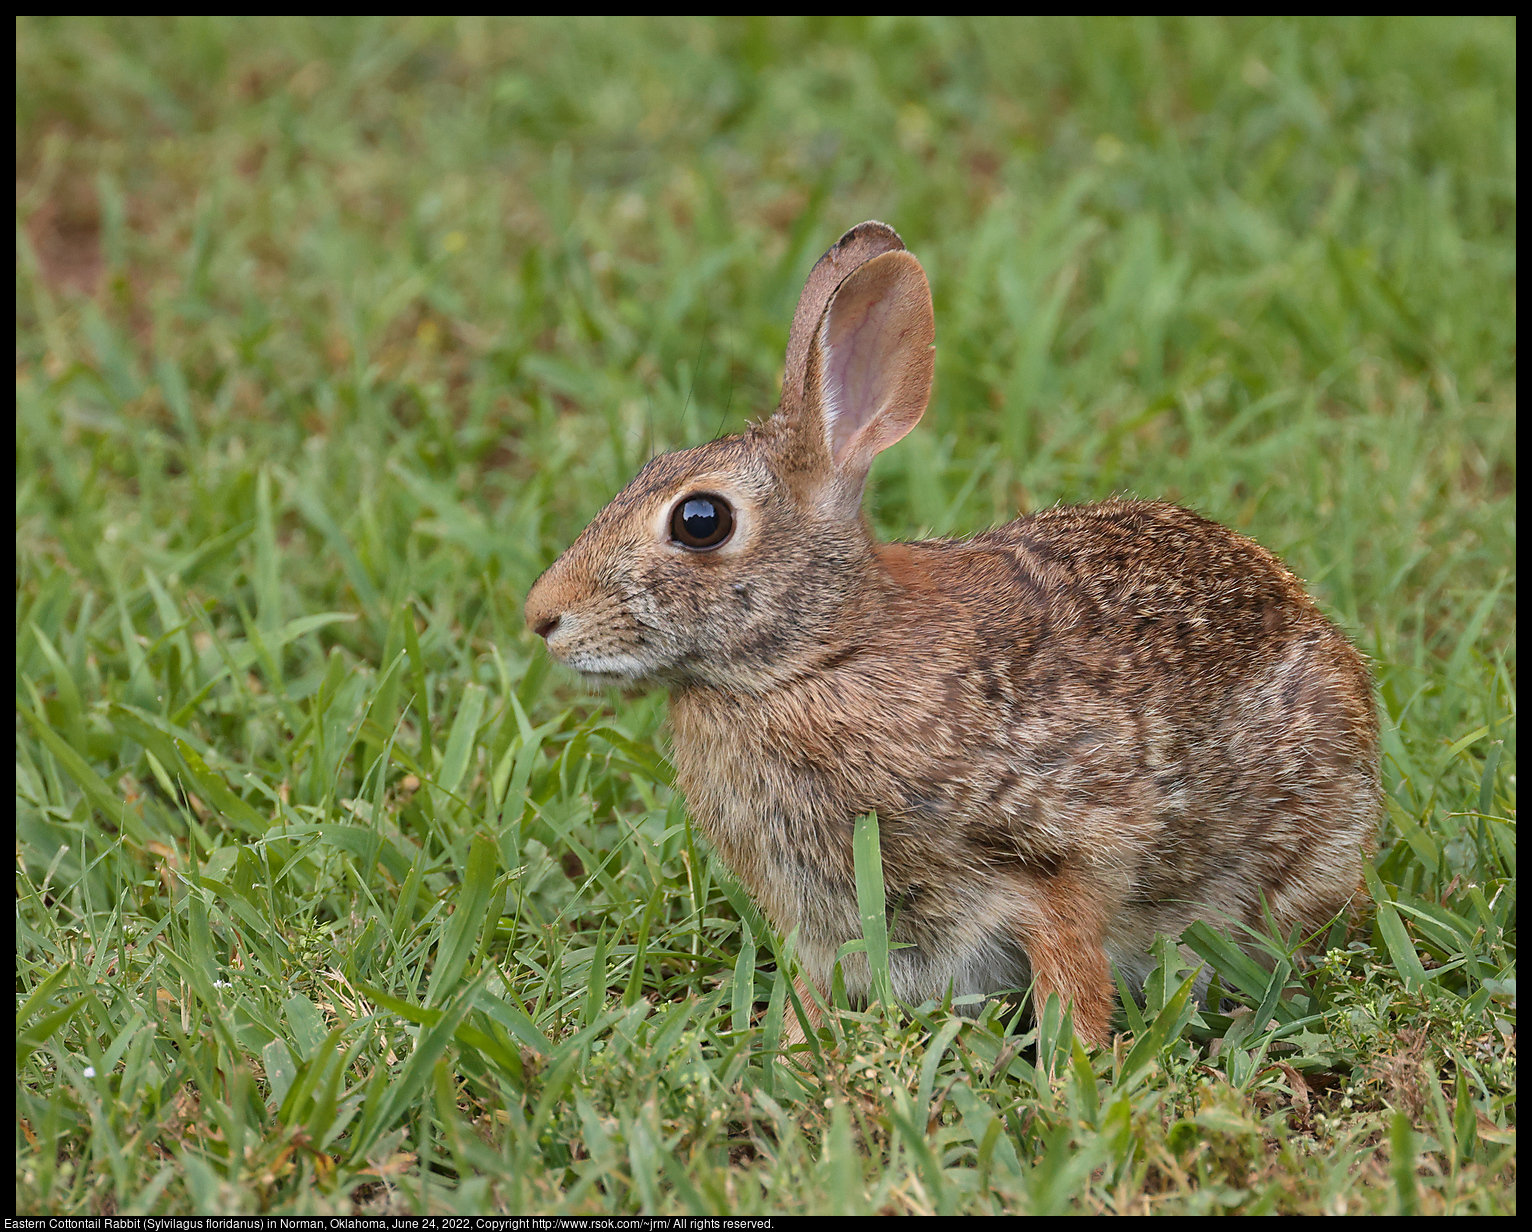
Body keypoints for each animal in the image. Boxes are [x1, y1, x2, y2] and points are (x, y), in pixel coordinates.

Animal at [520, 223, 1384, 1048]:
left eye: (701, 521)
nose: (542, 616)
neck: (816, 657)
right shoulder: (821, 925)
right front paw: (787, 1054)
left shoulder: (1058, 863)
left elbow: (1073, 973)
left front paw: (1075, 1069)